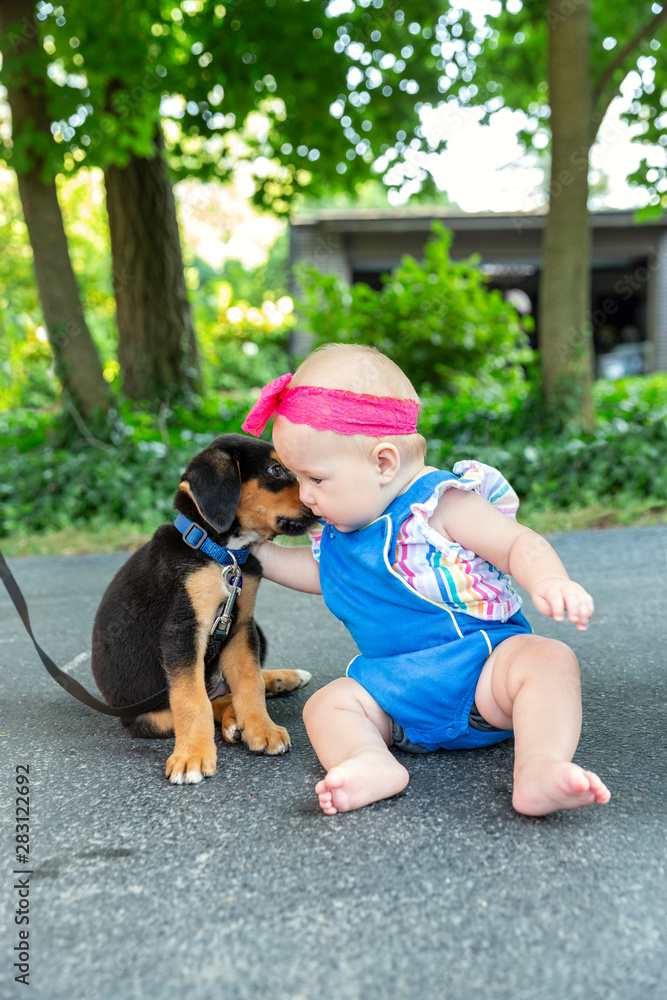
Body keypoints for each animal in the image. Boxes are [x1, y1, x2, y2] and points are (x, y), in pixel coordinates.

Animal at [92, 434, 318, 784]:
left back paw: (279, 682)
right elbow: (191, 698)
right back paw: (230, 720)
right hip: (146, 716)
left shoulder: (240, 625)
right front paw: (192, 757)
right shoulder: (183, 631)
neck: (223, 554)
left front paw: (262, 729)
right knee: (207, 701)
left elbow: (250, 681)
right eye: (276, 470)